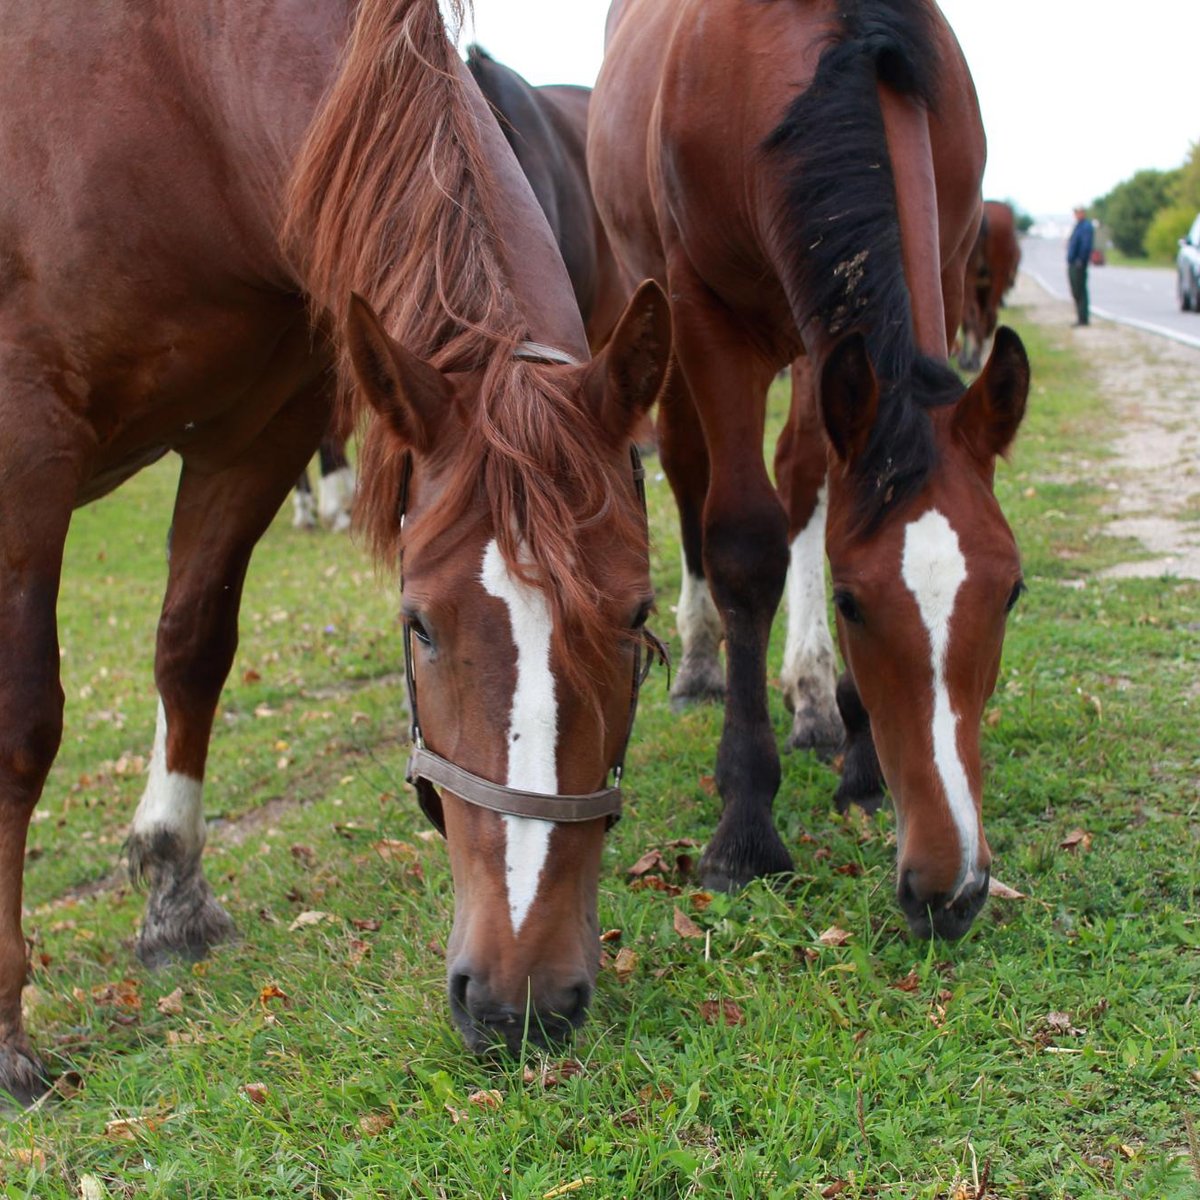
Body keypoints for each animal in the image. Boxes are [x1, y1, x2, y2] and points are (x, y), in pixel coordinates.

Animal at [0, 0, 672, 1104]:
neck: (169, 91)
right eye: (419, 625)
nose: (519, 1000)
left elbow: (193, 647)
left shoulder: (256, 434)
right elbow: (23, 726)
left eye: (637, 620)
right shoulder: (27, 453)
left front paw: (174, 894)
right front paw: (9, 1023)